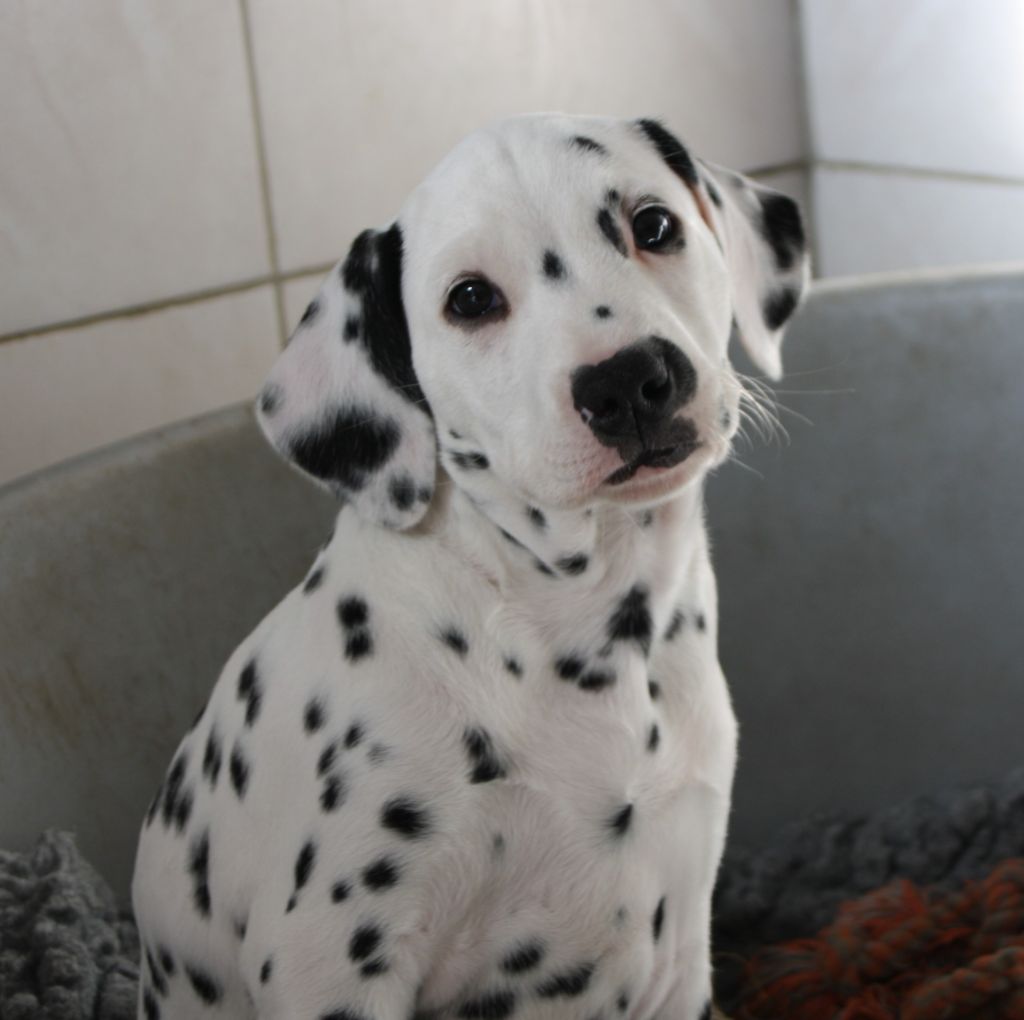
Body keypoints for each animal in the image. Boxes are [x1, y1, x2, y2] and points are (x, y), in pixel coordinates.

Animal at [132, 112, 808, 1020]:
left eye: (654, 223)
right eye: (471, 299)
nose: (629, 381)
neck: (574, 631)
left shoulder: (679, 955)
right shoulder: (328, 961)